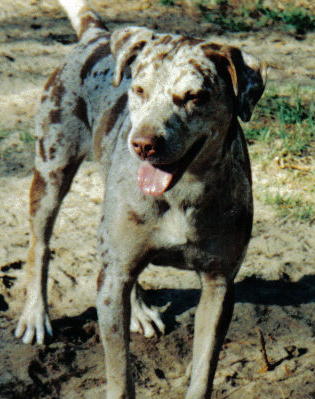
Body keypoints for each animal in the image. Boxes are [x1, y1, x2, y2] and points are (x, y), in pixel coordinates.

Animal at [14, 1, 266, 398]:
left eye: (196, 96)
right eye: (139, 90)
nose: (143, 144)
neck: (183, 191)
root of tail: (97, 35)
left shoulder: (219, 283)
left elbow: (204, 368)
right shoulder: (112, 283)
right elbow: (120, 374)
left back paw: (141, 309)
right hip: (52, 168)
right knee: (40, 244)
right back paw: (35, 315)